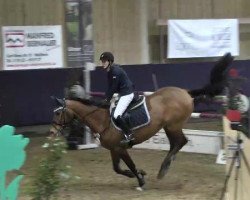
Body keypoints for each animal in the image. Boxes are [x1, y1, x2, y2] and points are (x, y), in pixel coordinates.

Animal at [49, 52, 233, 188]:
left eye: (58, 114)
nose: (51, 133)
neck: (101, 120)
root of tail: (185, 93)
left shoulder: (120, 147)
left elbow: (129, 165)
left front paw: (140, 179)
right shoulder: (114, 149)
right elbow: (117, 168)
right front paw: (138, 175)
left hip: (173, 125)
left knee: (181, 141)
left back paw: (164, 168)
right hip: (168, 126)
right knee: (176, 143)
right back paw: (165, 167)